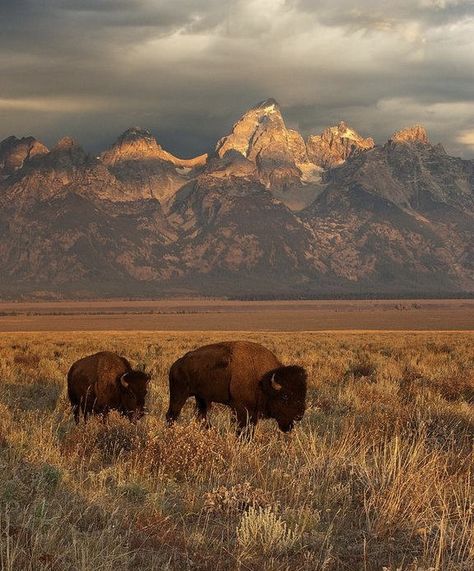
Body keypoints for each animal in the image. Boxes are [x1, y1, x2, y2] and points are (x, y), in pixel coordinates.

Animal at [166, 342, 308, 436]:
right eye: (285, 396)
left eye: (303, 393)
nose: (299, 415)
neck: (263, 381)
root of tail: (176, 364)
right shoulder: (240, 409)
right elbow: (241, 429)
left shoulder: (253, 412)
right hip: (179, 395)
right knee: (172, 415)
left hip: (201, 398)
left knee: (201, 416)